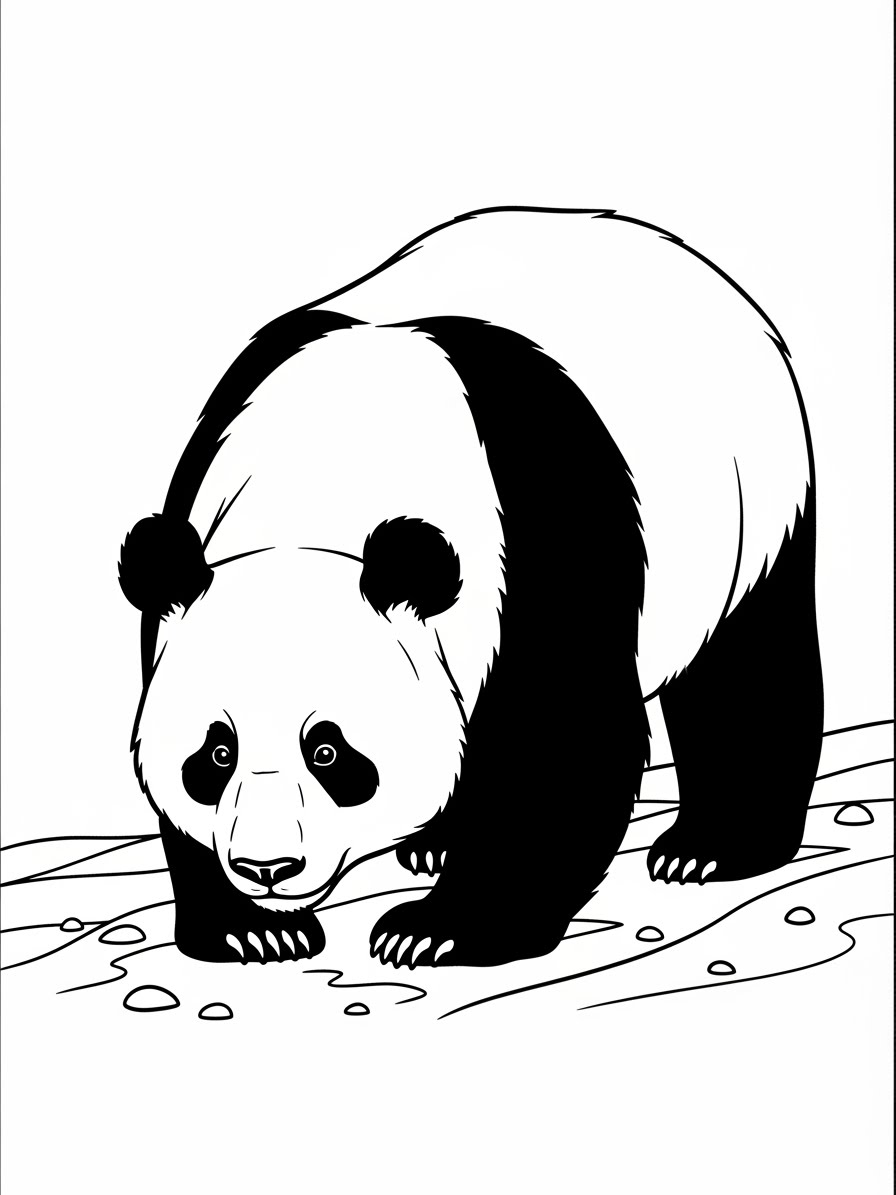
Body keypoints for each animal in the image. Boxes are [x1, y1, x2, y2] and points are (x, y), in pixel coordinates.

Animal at [119, 206, 823, 969]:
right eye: (216, 754)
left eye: (330, 752)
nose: (269, 868)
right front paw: (252, 928)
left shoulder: (545, 526)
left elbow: (561, 740)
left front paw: (438, 929)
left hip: (754, 513)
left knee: (747, 668)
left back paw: (710, 849)